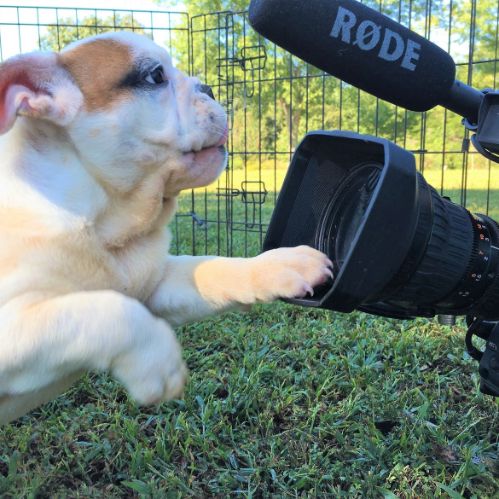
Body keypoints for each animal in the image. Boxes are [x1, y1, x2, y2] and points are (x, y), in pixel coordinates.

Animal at [0, 31, 334, 424]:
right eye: (155, 76)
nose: (209, 88)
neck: (107, 225)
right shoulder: (17, 327)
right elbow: (109, 312)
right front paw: (156, 363)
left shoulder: (159, 284)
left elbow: (212, 267)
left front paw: (279, 264)